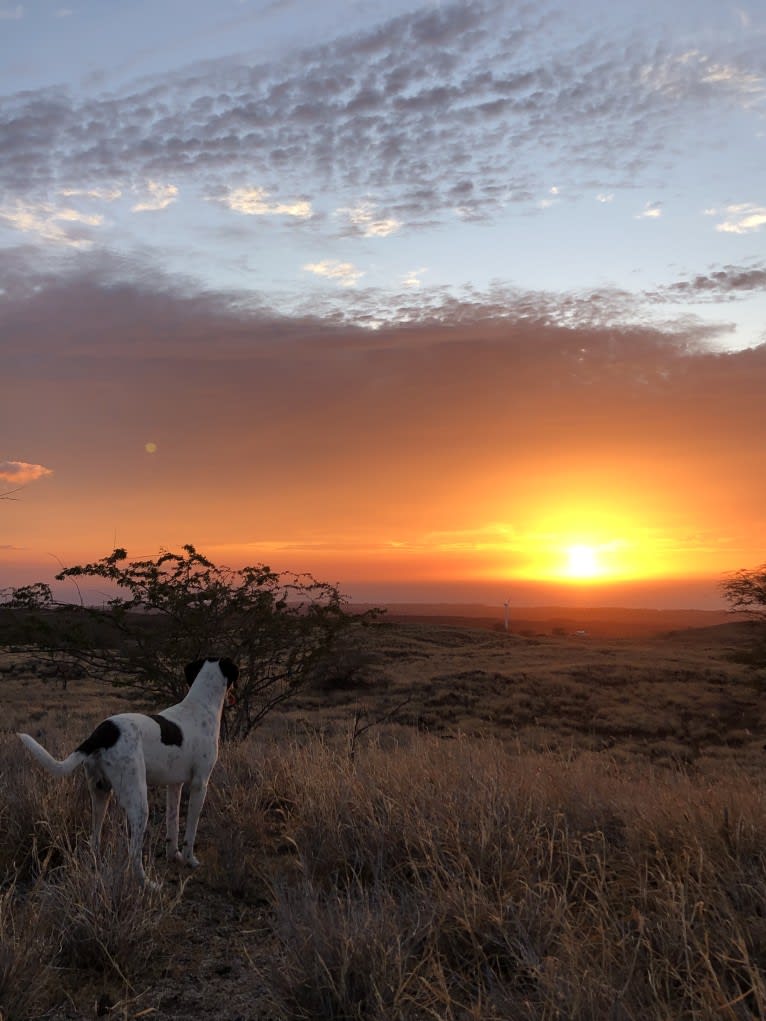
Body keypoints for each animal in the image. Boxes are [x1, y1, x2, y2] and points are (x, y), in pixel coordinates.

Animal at [18, 653, 240, 886]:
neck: (200, 705)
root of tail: (103, 732)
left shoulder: (174, 785)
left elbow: (172, 823)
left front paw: (174, 856)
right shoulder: (200, 784)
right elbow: (191, 830)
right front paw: (190, 860)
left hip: (100, 794)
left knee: (94, 840)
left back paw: (97, 868)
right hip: (138, 803)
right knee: (134, 853)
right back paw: (147, 883)